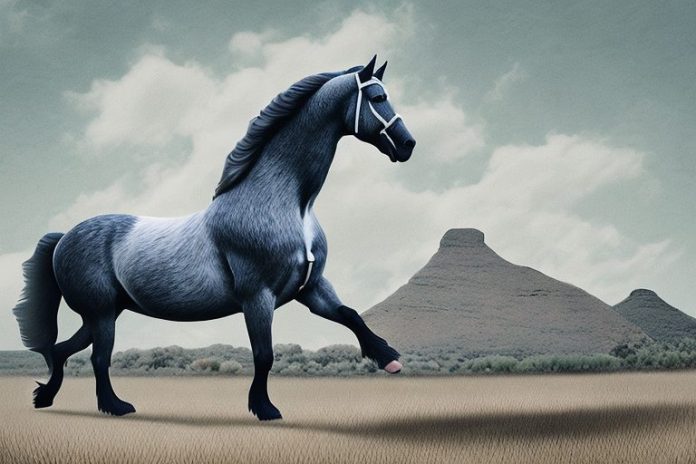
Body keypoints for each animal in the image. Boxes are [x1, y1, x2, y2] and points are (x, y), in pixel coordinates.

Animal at [13, 55, 416, 421]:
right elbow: (264, 354)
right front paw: (265, 409)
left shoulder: (311, 287)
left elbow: (351, 316)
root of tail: (65, 237)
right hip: (100, 313)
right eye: (377, 97)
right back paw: (116, 406)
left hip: (105, 312)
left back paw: (46, 398)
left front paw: (390, 360)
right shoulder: (258, 296)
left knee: (63, 349)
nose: (407, 144)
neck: (288, 204)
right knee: (97, 357)